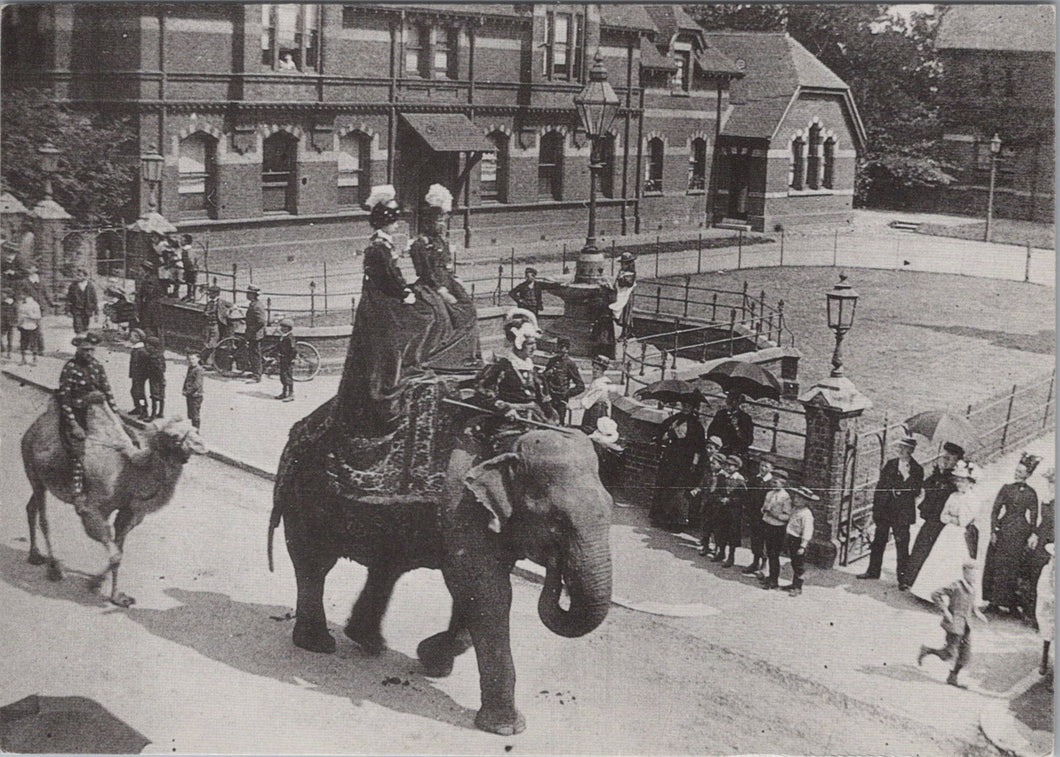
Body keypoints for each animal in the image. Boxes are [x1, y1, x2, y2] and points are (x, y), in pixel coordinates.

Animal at [20, 392, 206, 606]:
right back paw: (54, 569)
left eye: (194, 428)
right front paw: (95, 583)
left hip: (41, 479)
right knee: (44, 519)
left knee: (31, 507)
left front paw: (116, 595)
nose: (201, 446)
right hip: (32, 468)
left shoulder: (128, 513)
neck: (129, 473)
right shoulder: (91, 509)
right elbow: (115, 554)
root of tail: (33, 428)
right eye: (174, 436)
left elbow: (119, 553)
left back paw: (35, 555)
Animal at [267, 398, 614, 733]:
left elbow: (475, 591)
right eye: (557, 521)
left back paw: (368, 641)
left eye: (611, 508)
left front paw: (433, 661)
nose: (557, 566)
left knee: (387, 566)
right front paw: (506, 728)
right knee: (314, 563)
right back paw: (319, 644)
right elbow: (486, 591)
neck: (509, 438)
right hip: (305, 494)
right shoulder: (461, 504)